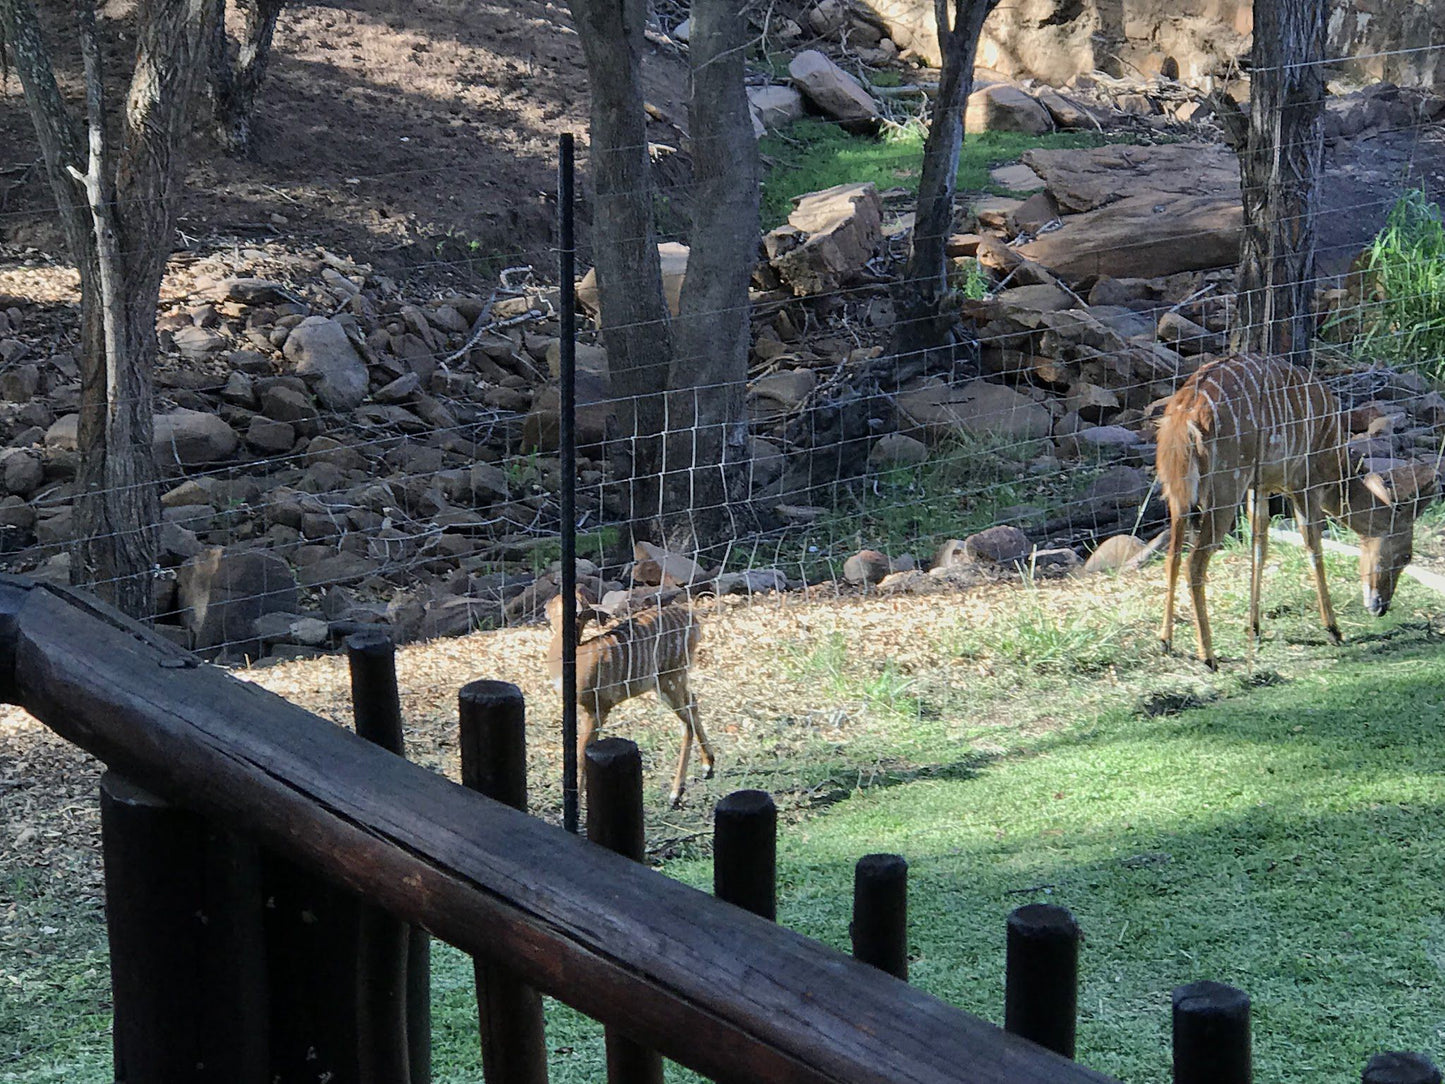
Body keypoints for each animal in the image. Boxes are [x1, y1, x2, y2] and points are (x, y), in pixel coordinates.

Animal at [543, 595, 713, 809]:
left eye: (557, 600)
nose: (544, 607)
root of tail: (694, 622)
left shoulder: (596, 708)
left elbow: (581, 757)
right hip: (671, 679)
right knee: (692, 705)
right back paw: (705, 769)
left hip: (671, 675)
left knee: (687, 716)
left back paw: (677, 792)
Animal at [1150, 358, 1433, 670]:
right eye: (1407, 556)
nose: (1380, 607)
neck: (1335, 462)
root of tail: (1186, 418)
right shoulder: (1303, 482)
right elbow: (1313, 547)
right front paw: (1333, 630)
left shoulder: (1260, 487)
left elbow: (1259, 548)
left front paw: (1255, 628)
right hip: (1225, 490)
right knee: (1195, 563)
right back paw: (1208, 656)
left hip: (1178, 495)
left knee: (1173, 557)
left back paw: (1165, 641)